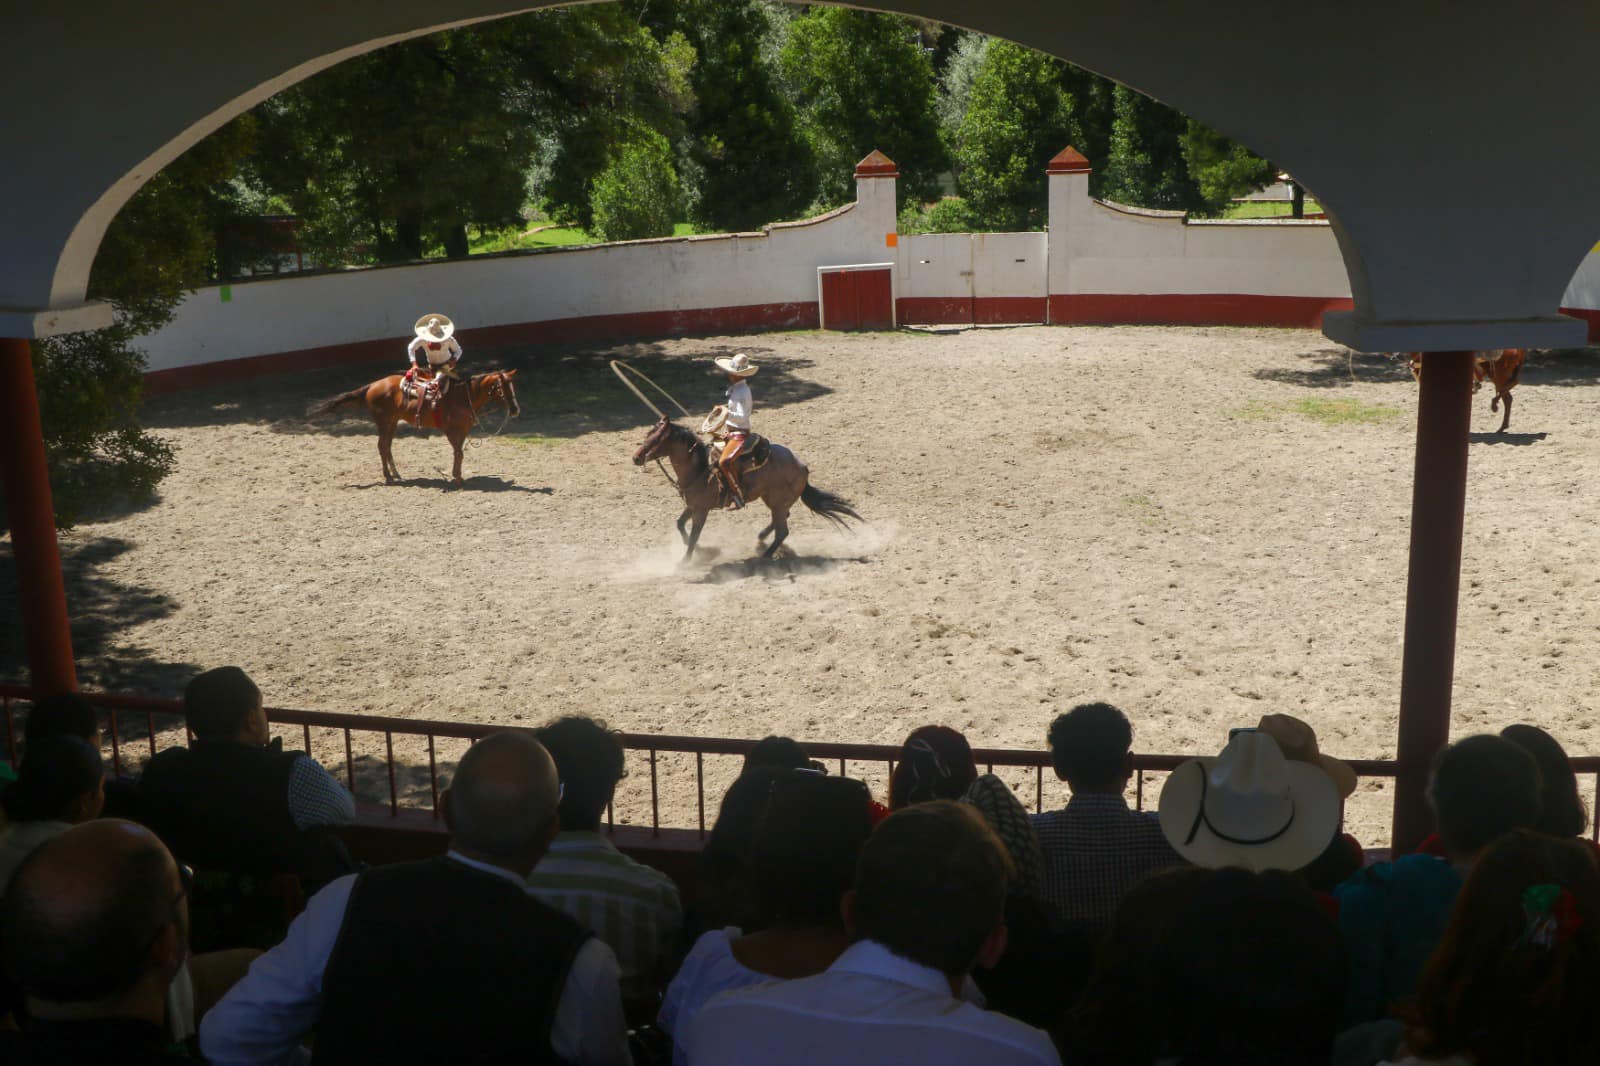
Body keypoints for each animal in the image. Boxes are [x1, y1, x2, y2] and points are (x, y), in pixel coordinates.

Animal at [305, 364, 518, 480]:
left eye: (512, 385)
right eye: (501, 387)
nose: (516, 410)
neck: (463, 397)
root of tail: (372, 385)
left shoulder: (463, 431)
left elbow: (459, 454)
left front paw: (457, 476)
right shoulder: (450, 431)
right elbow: (458, 453)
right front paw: (457, 479)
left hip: (392, 422)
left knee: (387, 446)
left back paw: (395, 473)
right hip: (383, 422)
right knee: (382, 446)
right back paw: (388, 476)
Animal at [633, 416, 864, 563]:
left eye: (656, 439)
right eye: (647, 434)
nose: (636, 458)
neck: (699, 470)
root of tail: (802, 466)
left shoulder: (701, 510)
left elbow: (694, 535)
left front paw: (686, 561)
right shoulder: (693, 506)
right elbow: (680, 525)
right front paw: (705, 552)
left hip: (777, 502)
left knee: (783, 531)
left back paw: (764, 556)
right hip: (774, 500)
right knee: (782, 521)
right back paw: (761, 539)